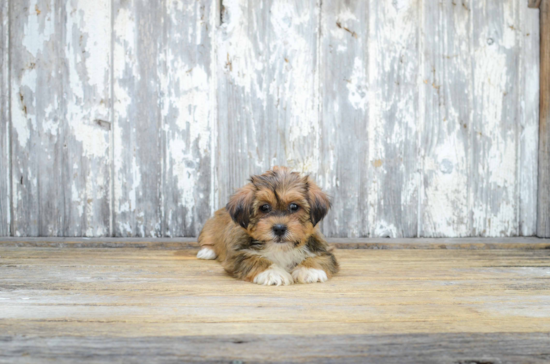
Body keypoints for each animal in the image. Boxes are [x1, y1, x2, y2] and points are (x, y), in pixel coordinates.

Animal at [196, 166, 338, 286]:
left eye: (294, 206)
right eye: (264, 207)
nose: (279, 229)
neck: (280, 248)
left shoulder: (323, 248)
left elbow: (320, 257)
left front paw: (310, 270)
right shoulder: (237, 254)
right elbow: (254, 259)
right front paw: (272, 273)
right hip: (211, 226)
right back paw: (207, 251)